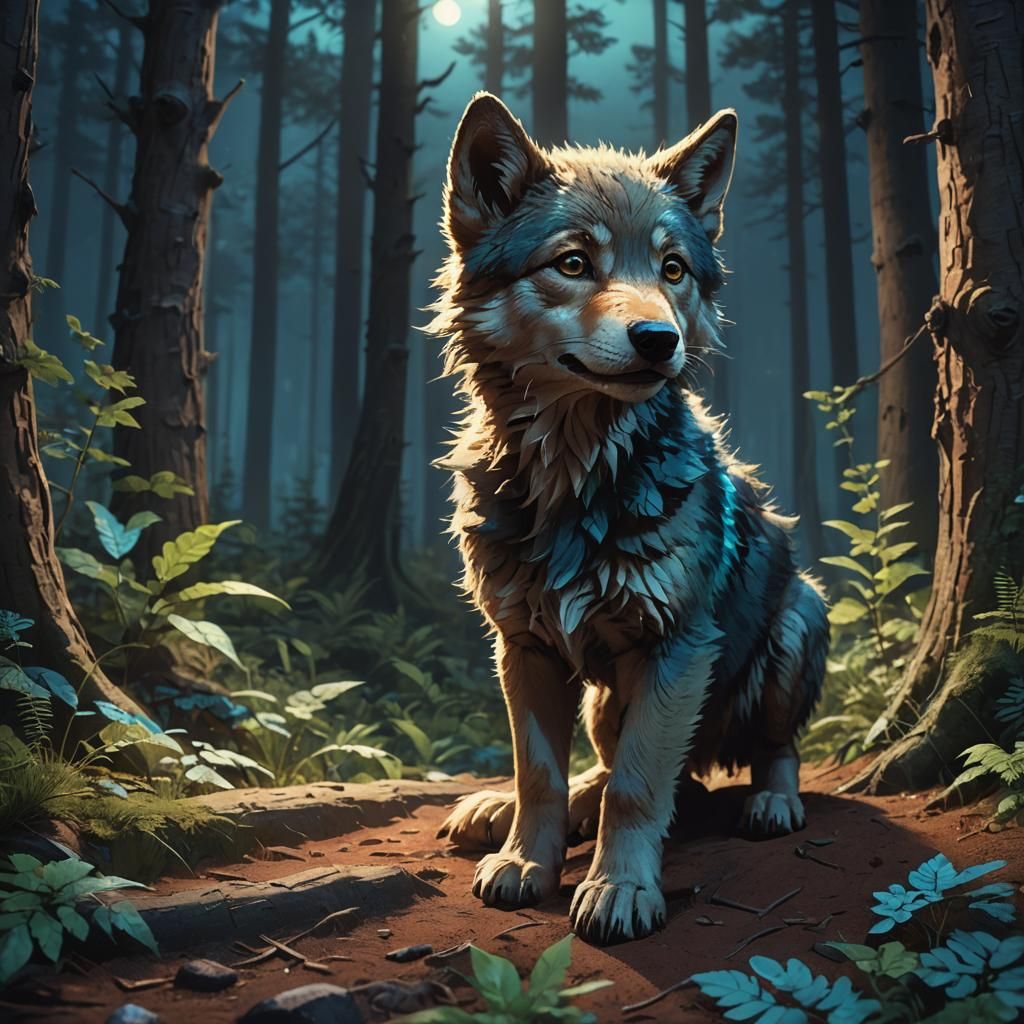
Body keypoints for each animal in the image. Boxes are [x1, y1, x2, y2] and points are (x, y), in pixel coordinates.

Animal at [428, 93, 829, 946]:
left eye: (672, 270)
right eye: (574, 263)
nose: (659, 339)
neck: (575, 479)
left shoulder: (675, 650)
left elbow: (641, 787)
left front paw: (618, 889)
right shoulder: (524, 647)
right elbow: (540, 774)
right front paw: (526, 858)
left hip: (792, 626)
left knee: (762, 751)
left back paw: (771, 801)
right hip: (603, 697)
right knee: (612, 768)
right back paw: (501, 811)